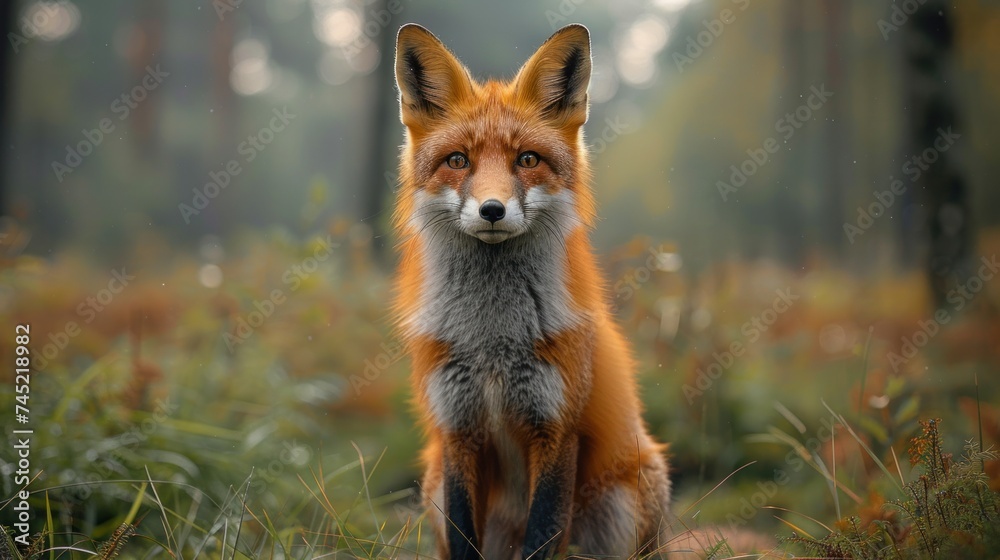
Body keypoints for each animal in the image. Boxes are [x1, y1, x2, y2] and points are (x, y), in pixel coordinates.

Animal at [390, 23, 672, 559]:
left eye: (527, 159)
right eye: (458, 160)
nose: (492, 210)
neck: (492, 340)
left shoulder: (557, 428)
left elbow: (543, 536)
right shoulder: (458, 429)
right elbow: (463, 538)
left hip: (624, 499)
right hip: (433, 482)